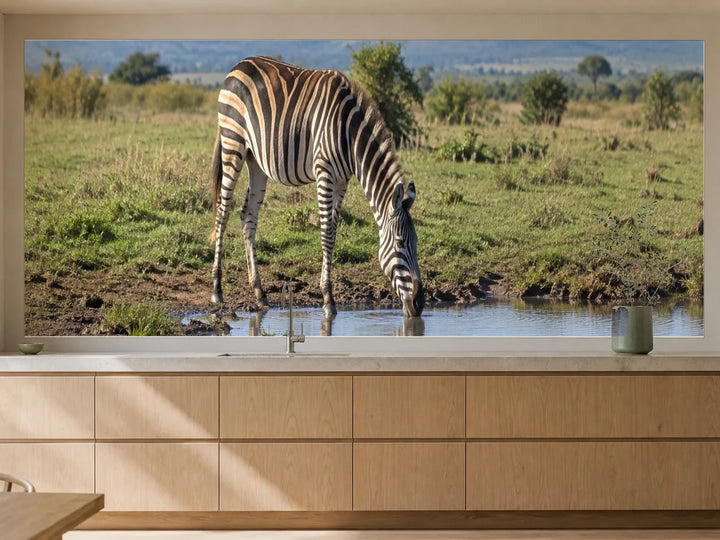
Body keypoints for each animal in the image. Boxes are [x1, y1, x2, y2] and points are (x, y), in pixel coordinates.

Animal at [209, 56, 424, 318]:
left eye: (417, 242)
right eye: (401, 243)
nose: (420, 303)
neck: (349, 136)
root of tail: (238, 65)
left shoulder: (342, 181)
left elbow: (333, 231)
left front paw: (328, 296)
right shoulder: (324, 174)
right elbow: (326, 234)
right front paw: (328, 300)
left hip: (256, 160)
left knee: (248, 216)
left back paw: (259, 294)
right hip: (233, 143)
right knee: (223, 212)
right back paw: (217, 290)